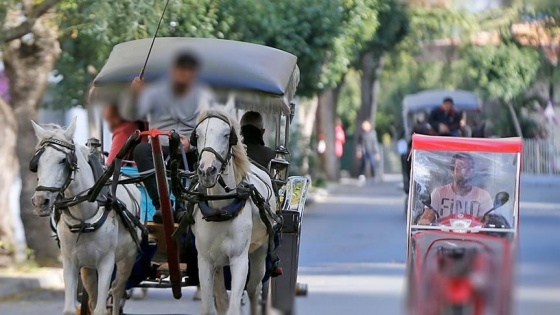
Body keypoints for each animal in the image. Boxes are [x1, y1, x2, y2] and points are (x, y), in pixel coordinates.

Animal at [30, 118, 142, 315]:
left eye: (63, 160)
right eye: (37, 163)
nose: (40, 202)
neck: (84, 217)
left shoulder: (106, 263)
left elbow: (101, 309)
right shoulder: (70, 262)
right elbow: (71, 309)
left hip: (127, 259)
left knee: (117, 289)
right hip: (88, 268)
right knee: (93, 294)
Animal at [190, 109, 276, 315]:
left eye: (226, 135)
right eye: (198, 135)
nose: (207, 171)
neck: (220, 208)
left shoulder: (239, 259)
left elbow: (235, 307)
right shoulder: (205, 260)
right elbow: (209, 307)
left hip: (260, 250)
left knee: (254, 288)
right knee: (222, 297)